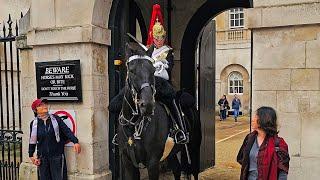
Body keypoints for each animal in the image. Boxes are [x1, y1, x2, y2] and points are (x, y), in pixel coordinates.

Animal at [117, 43, 201, 179]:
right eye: (132, 71)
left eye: (153, 71)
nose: (147, 105)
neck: (133, 126)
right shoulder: (128, 162)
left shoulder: (153, 163)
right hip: (171, 152)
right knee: (177, 169)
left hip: (194, 147)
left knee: (194, 171)